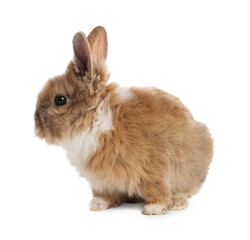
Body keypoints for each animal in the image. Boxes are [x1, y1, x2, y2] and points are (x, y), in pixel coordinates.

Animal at [34, 26, 213, 216]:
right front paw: (98, 204)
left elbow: (157, 189)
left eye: (60, 100)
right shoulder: (103, 181)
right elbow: (107, 194)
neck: (97, 119)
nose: (36, 124)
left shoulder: (152, 169)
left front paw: (155, 208)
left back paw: (177, 202)